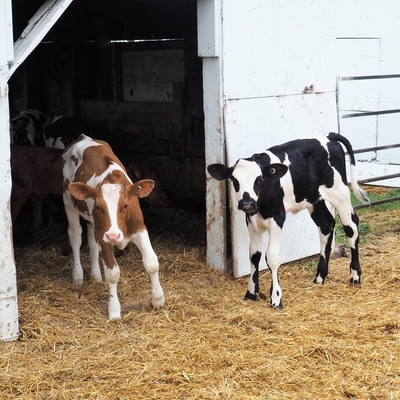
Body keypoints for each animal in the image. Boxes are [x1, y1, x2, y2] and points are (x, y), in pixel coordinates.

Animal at [62, 134, 164, 318]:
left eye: (125, 206)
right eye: (99, 207)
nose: (114, 236)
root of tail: (83, 137)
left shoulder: (139, 228)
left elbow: (152, 262)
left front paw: (158, 299)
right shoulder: (104, 236)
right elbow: (112, 273)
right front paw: (114, 310)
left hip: (93, 222)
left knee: (91, 240)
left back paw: (96, 275)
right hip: (68, 203)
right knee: (76, 237)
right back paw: (78, 276)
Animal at [208, 133, 370, 308]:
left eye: (259, 179)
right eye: (234, 180)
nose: (247, 203)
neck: (261, 205)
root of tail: (329, 136)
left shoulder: (277, 219)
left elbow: (272, 257)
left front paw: (276, 298)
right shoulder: (251, 221)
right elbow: (254, 255)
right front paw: (251, 292)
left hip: (340, 194)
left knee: (351, 228)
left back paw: (355, 276)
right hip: (315, 199)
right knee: (326, 225)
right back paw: (320, 277)